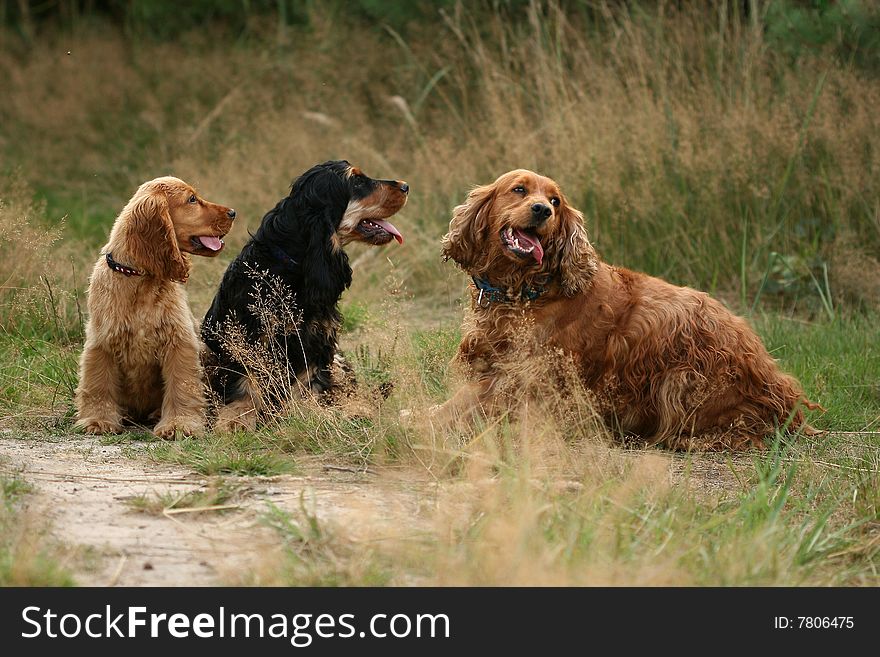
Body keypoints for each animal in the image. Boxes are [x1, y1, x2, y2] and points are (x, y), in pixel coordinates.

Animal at [75, 177, 235, 438]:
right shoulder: (102, 341)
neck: (140, 278)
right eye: (192, 199)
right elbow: (98, 383)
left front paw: (179, 424)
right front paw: (98, 420)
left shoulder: (178, 341)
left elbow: (182, 384)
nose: (233, 212)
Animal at [434, 169, 820, 448]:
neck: (526, 290)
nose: (543, 210)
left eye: (556, 201)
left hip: (684, 377)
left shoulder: (530, 382)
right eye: (519, 190)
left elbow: (463, 403)